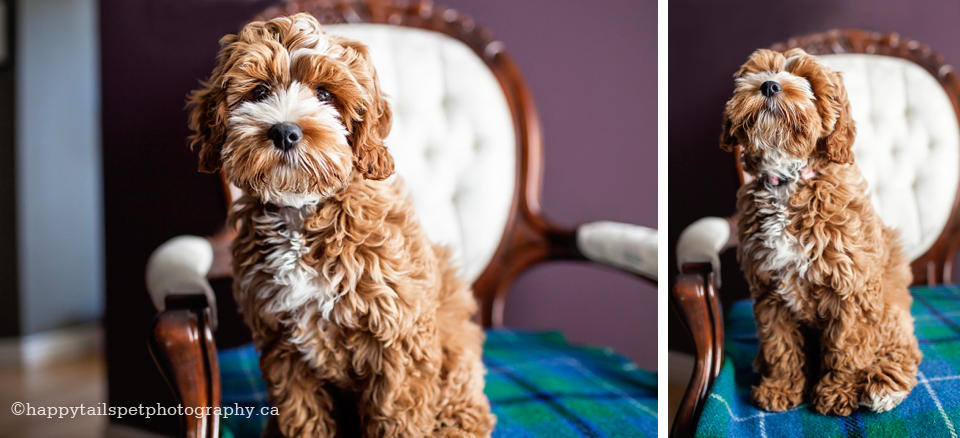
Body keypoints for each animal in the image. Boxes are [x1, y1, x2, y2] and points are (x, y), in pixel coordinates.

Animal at [188, 12, 498, 436]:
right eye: (259, 90)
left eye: (324, 94)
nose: (285, 131)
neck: (303, 211)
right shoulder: (282, 343)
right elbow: (302, 416)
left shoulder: (399, 336)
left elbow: (398, 417)